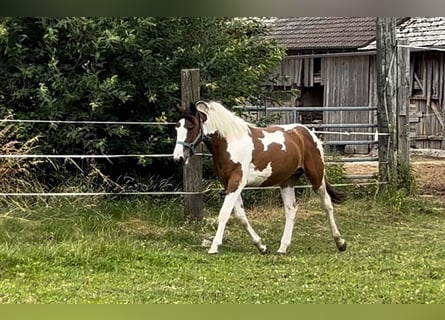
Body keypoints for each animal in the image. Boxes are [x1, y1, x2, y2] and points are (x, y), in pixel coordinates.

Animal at [172, 100, 346, 255]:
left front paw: (214, 247)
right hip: (287, 181)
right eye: (177, 127)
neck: (230, 142)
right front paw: (262, 246)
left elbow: (224, 213)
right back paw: (282, 248)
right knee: (291, 209)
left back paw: (340, 242)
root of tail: (308, 133)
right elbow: (240, 216)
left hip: (316, 176)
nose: (178, 158)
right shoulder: (229, 184)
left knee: (327, 205)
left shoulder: (236, 182)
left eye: (191, 127)